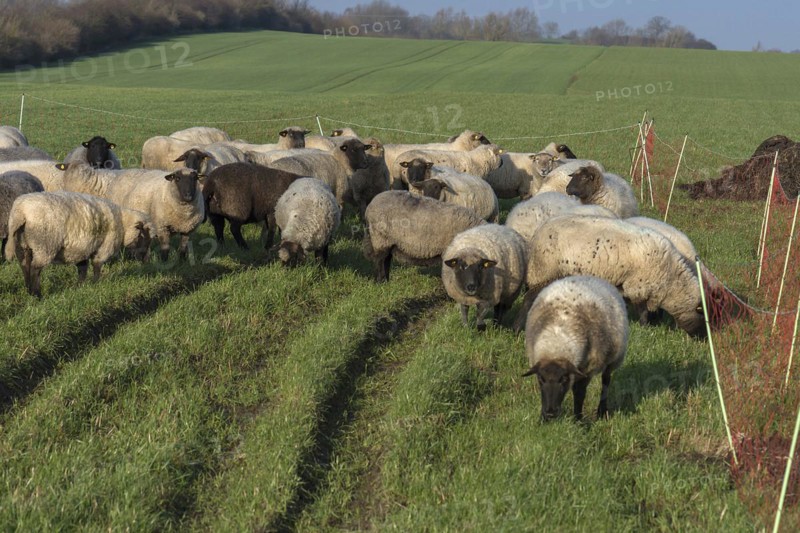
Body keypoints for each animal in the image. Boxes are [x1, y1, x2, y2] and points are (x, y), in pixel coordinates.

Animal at [4, 191, 154, 296]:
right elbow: (97, 266)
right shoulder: (104, 247)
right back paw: (37, 294)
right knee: (36, 269)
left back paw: (29, 291)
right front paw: (95, 284)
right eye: (143, 235)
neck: (123, 222)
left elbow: (82, 270)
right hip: (44, 245)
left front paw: (79, 287)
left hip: (22, 245)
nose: (146, 259)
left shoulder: (82, 249)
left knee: (25, 267)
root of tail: (21, 212)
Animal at [514, 215, 705, 337]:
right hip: (543, 271)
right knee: (528, 299)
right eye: (704, 317)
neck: (671, 279)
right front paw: (646, 328)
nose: (702, 339)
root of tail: (539, 231)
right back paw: (519, 326)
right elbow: (642, 310)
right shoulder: (638, 285)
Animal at [522, 275, 628, 422]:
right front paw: (543, 419)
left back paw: (602, 411)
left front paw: (578, 419)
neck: (556, 344)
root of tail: (589, 276)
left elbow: (579, 394)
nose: (551, 413)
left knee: (606, 381)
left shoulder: (588, 369)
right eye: (541, 379)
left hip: (614, 359)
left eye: (563, 379)